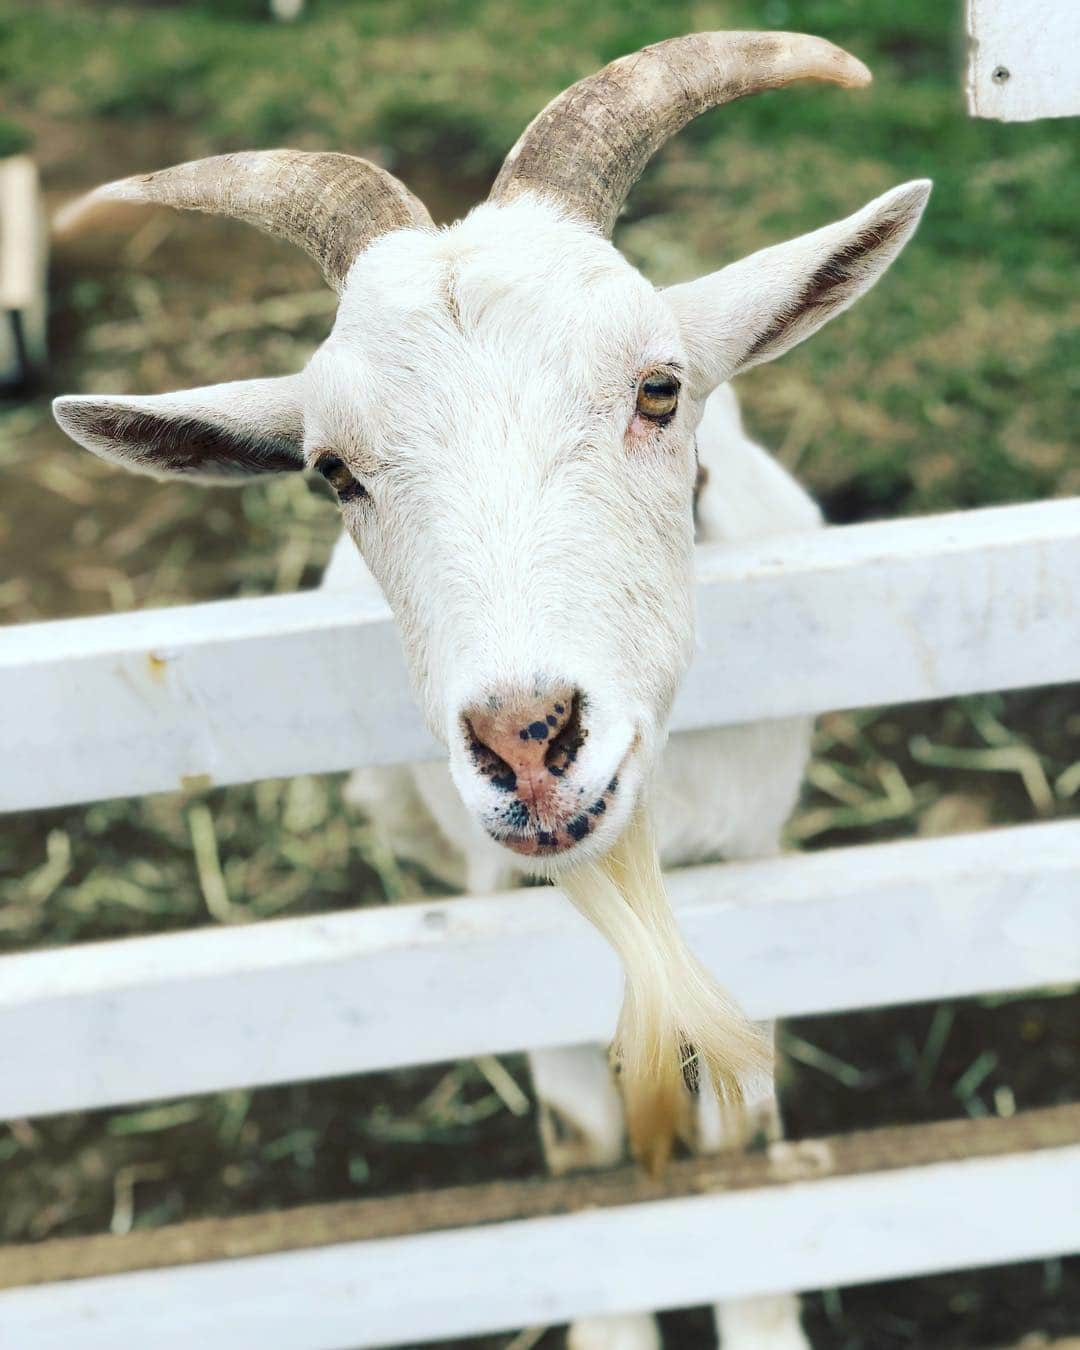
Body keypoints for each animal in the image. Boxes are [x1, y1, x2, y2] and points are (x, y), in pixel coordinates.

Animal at [52, 31, 928, 1350]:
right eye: (331, 470)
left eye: (660, 388)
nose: (526, 740)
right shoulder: (506, 911)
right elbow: (577, 1143)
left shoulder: (760, 867)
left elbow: (744, 1132)